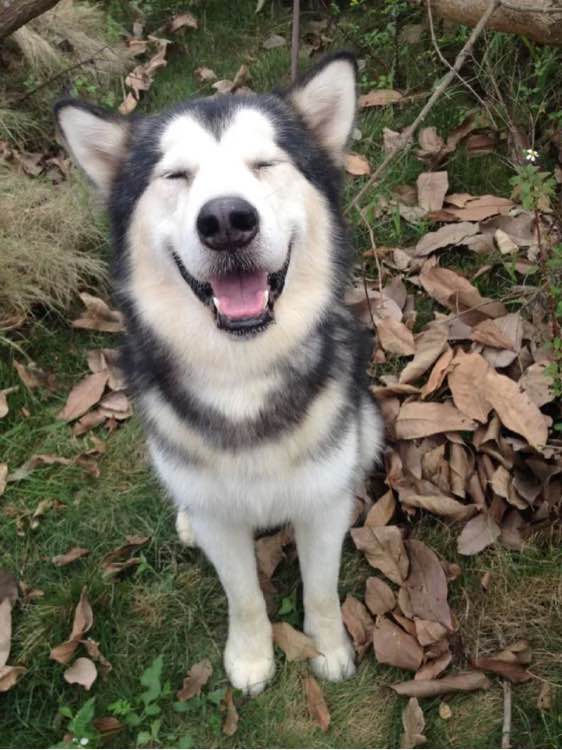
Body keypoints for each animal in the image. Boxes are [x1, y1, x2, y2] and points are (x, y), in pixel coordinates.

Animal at [55, 51, 383, 695]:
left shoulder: (321, 507)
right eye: (176, 176)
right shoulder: (220, 519)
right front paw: (252, 658)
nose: (227, 219)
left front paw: (329, 648)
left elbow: (323, 589)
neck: (242, 375)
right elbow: (245, 595)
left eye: (264, 164)